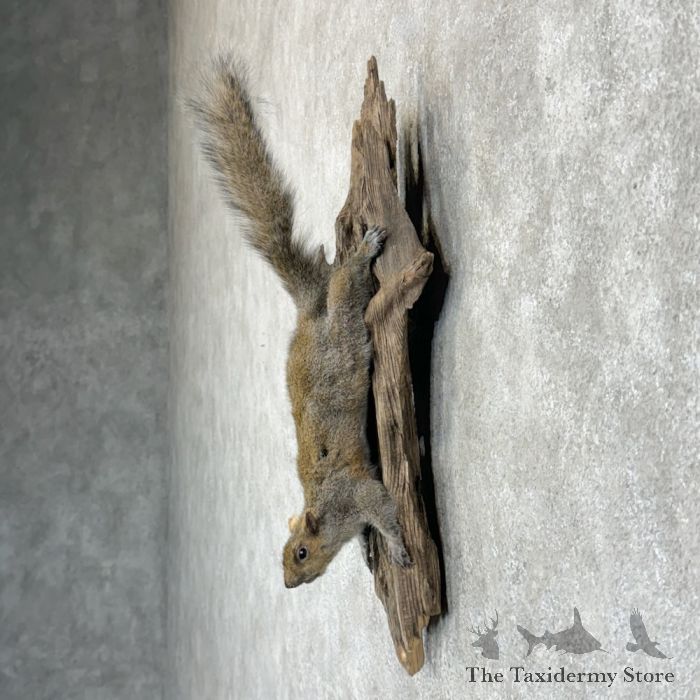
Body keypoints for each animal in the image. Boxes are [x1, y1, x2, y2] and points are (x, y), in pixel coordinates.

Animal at [190, 57, 412, 588]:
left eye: (302, 552)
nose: (290, 584)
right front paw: (370, 551)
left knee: (349, 285)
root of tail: (311, 310)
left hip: (345, 325)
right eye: (285, 555)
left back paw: (365, 250)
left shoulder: (357, 494)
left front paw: (395, 547)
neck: (326, 511)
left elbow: (385, 510)